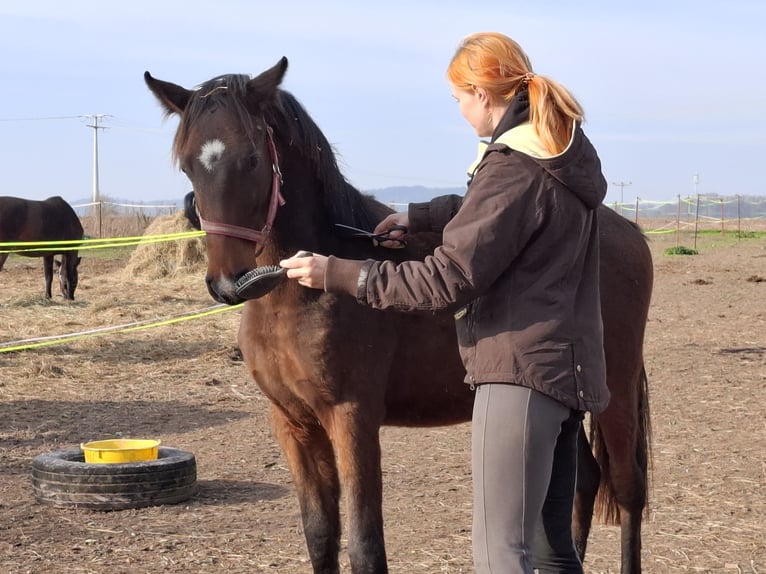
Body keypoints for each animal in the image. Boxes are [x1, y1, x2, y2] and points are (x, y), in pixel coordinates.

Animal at [146, 59, 656, 574]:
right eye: (188, 165)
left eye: (251, 158)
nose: (229, 283)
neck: (293, 301)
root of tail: (627, 230)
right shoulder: (293, 424)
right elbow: (320, 535)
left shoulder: (352, 419)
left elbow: (364, 544)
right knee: (583, 483)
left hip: (612, 394)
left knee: (627, 487)